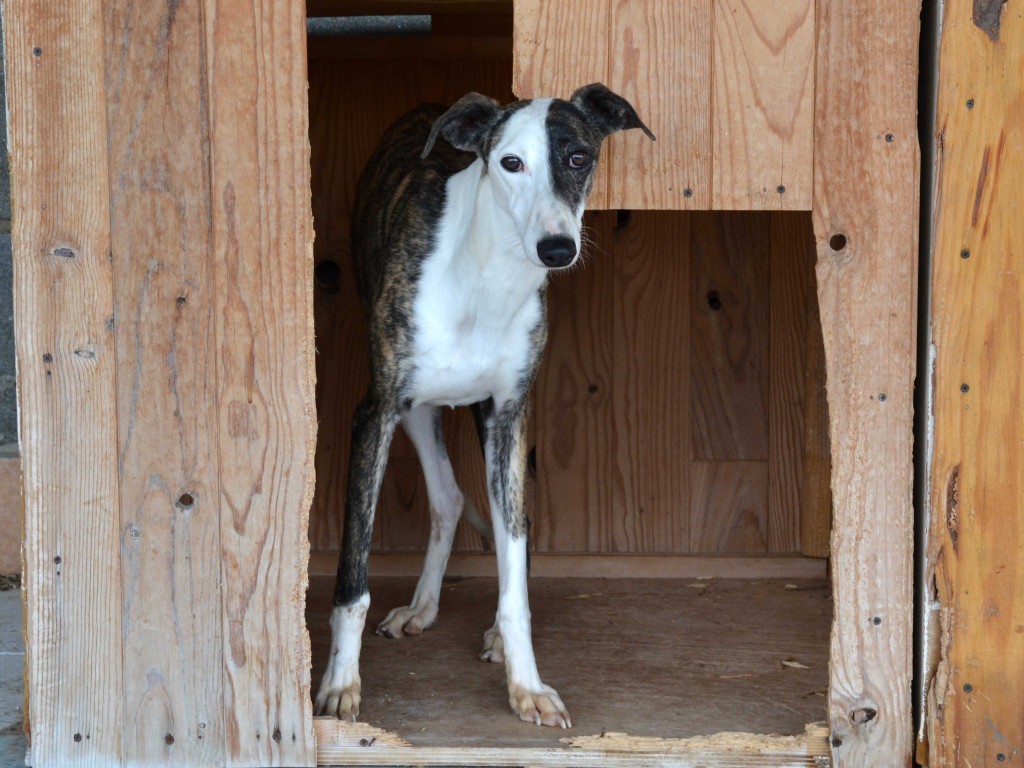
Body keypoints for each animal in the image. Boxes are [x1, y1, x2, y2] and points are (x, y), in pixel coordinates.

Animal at [311, 82, 659, 729]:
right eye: (510, 163)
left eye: (578, 157)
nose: (556, 248)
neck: (484, 277)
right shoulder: (376, 412)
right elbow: (353, 579)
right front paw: (340, 686)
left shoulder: (508, 414)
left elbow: (514, 569)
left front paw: (527, 684)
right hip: (416, 407)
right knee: (449, 496)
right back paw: (419, 609)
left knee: (491, 520)